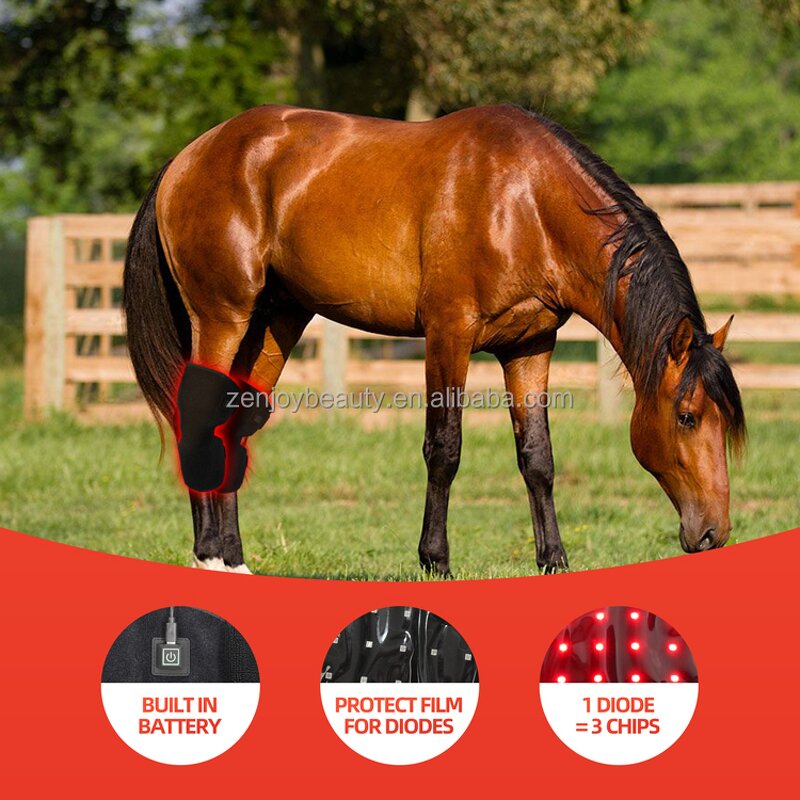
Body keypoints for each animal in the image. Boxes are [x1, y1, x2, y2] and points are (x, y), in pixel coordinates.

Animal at [122, 104, 745, 577]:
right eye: (687, 416)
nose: (713, 533)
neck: (525, 201)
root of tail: (187, 157)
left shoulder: (530, 346)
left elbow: (537, 457)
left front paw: (554, 560)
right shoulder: (449, 334)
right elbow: (444, 450)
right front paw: (435, 560)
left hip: (277, 320)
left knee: (234, 422)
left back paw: (234, 560)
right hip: (222, 318)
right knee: (199, 415)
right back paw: (207, 555)